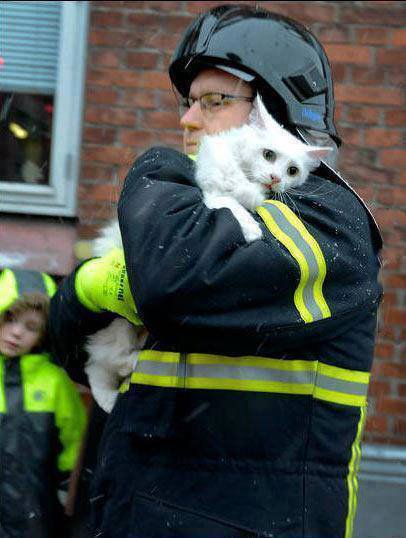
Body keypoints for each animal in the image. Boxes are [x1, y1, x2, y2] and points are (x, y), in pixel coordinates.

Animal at [195, 94, 332, 241]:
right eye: (268, 154)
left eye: (292, 171)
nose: (275, 178)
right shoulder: (212, 183)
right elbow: (229, 202)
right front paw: (250, 228)